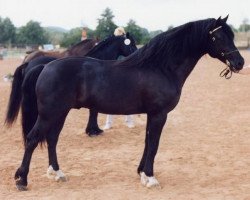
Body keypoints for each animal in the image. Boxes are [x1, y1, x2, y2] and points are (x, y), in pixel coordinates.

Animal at [5, 33, 137, 137]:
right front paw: (94, 131)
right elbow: (94, 112)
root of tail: (28, 63)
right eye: (131, 45)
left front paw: (92, 130)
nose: (136, 54)